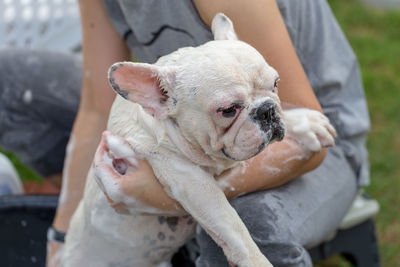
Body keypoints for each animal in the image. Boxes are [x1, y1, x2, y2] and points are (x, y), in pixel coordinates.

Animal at [62, 13, 336, 267]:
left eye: (276, 84)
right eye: (228, 110)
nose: (266, 111)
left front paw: (304, 122)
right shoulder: (191, 182)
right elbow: (232, 224)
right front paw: (257, 261)